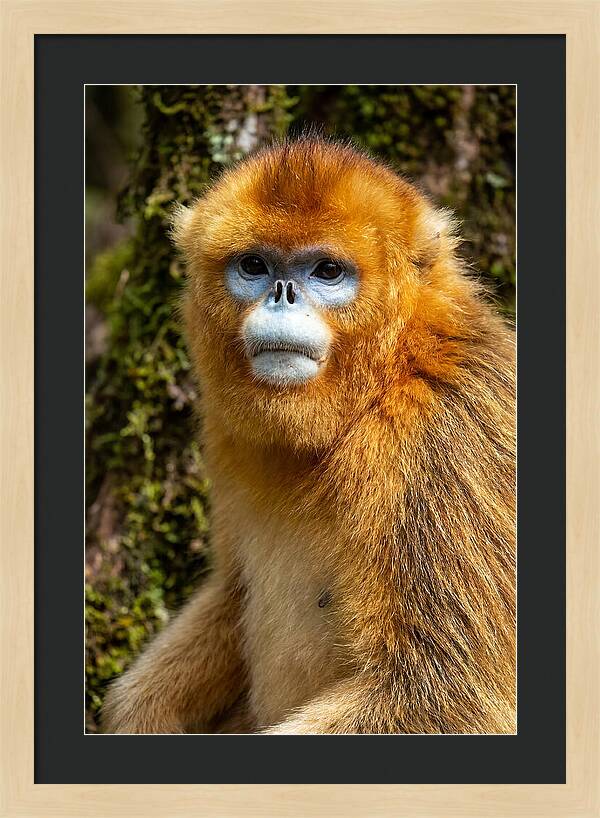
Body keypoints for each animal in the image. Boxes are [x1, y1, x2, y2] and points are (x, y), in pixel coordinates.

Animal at [102, 136, 516, 734]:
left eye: (326, 271)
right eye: (254, 265)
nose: (282, 293)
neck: (382, 384)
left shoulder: (447, 436)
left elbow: (448, 697)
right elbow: (231, 593)